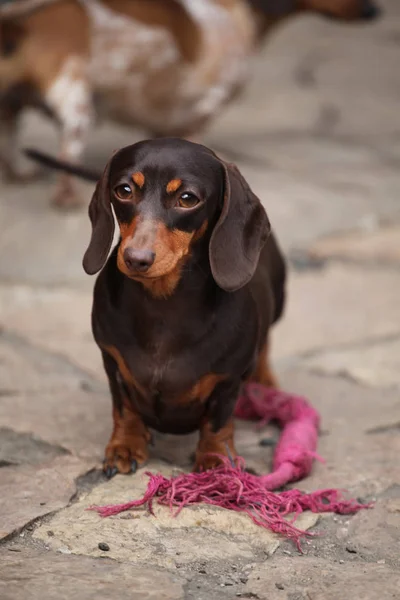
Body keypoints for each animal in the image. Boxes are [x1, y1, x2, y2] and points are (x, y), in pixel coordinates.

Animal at [0, 0, 382, 209]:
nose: (374, 10)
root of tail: (18, 22)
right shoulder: (201, 110)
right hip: (77, 105)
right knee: (66, 158)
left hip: (12, 107)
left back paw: (18, 174)